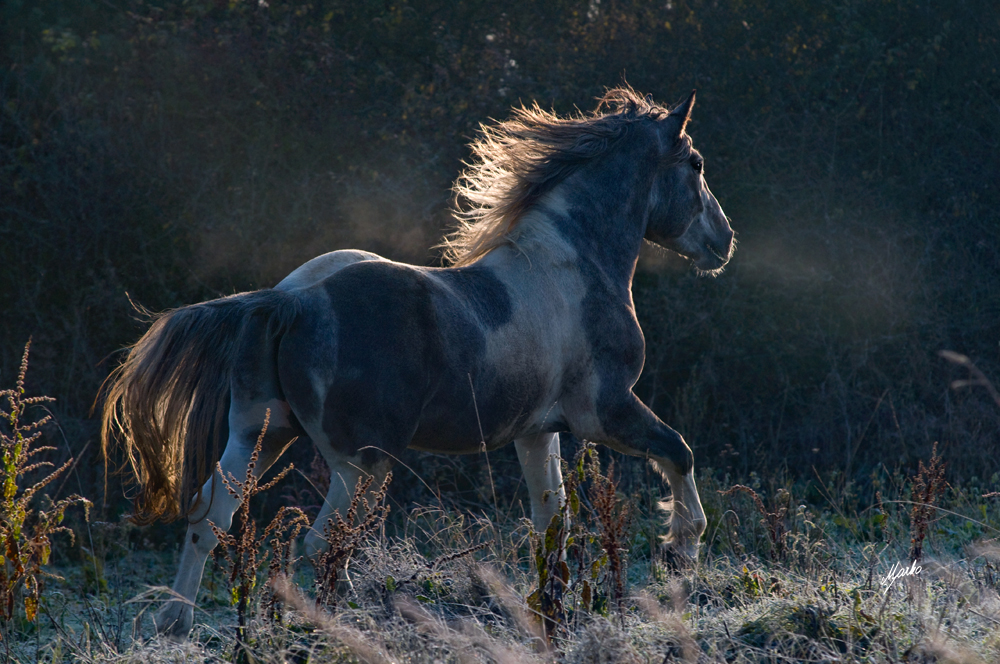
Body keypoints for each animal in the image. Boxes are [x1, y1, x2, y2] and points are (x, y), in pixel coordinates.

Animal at [101, 85, 736, 636]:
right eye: (697, 163)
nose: (723, 242)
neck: (574, 266)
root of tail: (291, 300)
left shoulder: (537, 431)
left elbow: (551, 523)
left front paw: (552, 612)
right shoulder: (604, 411)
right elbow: (678, 452)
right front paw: (682, 551)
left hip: (262, 432)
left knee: (210, 513)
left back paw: (175, 623)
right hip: (362, 461)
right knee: (322, 542)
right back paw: (343, 628)